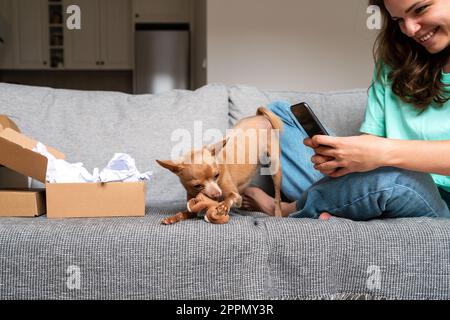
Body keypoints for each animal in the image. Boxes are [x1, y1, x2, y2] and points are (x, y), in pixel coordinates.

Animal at [156, 106, 284, 224]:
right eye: (197, 186)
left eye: (217, 175)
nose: (217, 194)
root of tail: (258, 116)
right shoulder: (192, 205)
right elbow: (186, 213)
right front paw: (173, 218)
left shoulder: (237, 197)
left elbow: (230, 196)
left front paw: (223, 206)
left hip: (275, 168)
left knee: (277, 198)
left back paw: (278, 214)